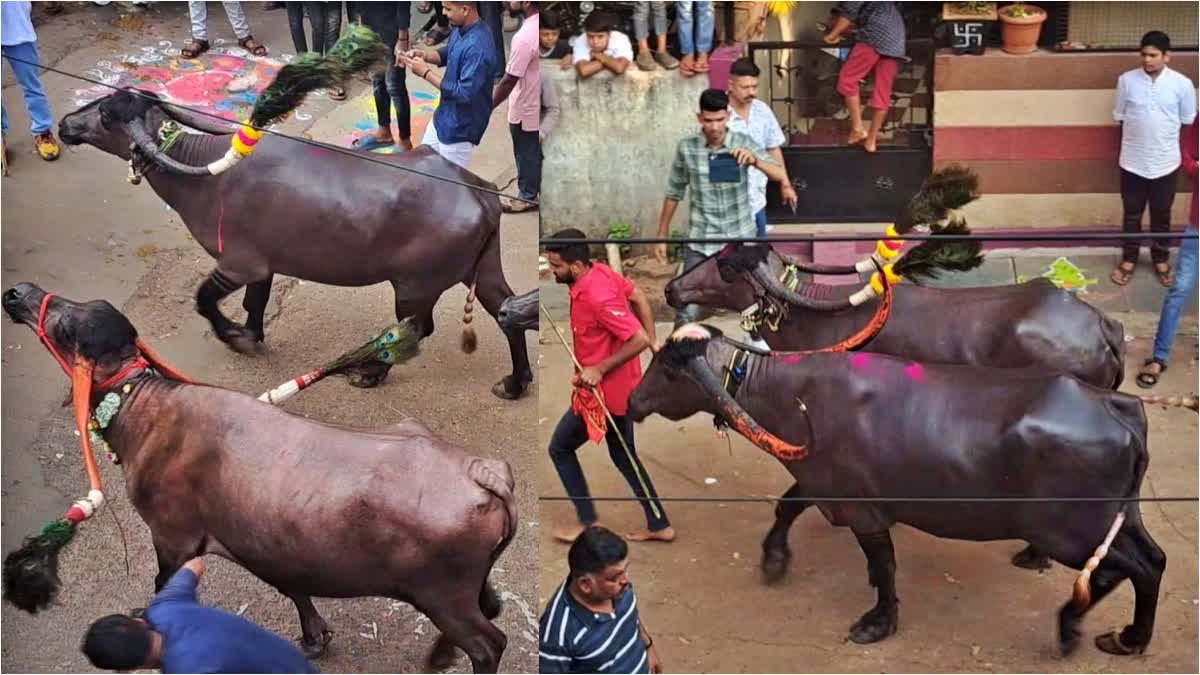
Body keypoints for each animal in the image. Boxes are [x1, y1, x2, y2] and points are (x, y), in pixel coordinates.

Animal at [4, 281, 520, 667]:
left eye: (66, 325)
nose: (18, 292)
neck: (144, 410)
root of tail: (484, 471)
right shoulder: (268, 542)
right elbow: (293, 587)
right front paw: (314, 638)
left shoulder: (172, 538)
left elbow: (161, 587)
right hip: (465, 588)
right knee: (490, 608)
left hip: (441, 596)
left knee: (490, 643)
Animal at [57, 90, 530, 398]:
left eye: (105, 114)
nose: (64, 124)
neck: (204, 173)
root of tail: (481, 194)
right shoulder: (263, 268)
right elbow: (256, 303)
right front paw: (252, 333)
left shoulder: (238, 265)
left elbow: (204, 299)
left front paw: (235, 338)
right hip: (481, 269)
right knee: (507, 312)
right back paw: (515, 382)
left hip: (415, 286)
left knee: (416, 329)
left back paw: (371, 372)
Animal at [628, 324, 1161, 653]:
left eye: (670, 369)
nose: (632, 401)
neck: (789, 391)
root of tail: (1115, 406)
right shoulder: (821, 481)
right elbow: (787, 507)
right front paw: (774, 560)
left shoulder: (861, 509)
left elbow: (883, 566)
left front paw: (878, 622)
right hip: (1120, 517)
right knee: (1152, 560)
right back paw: (1130, 636)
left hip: (1069, 530)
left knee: (1121, 569)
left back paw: (1075, 624)